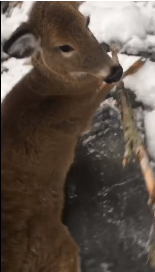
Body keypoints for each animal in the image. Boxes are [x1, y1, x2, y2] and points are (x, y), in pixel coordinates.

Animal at [1, 1, 122, 270]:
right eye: (64, 46)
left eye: (86, 21)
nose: (114, 70)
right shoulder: (83, 109)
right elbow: (105, 89)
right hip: (62, 250)